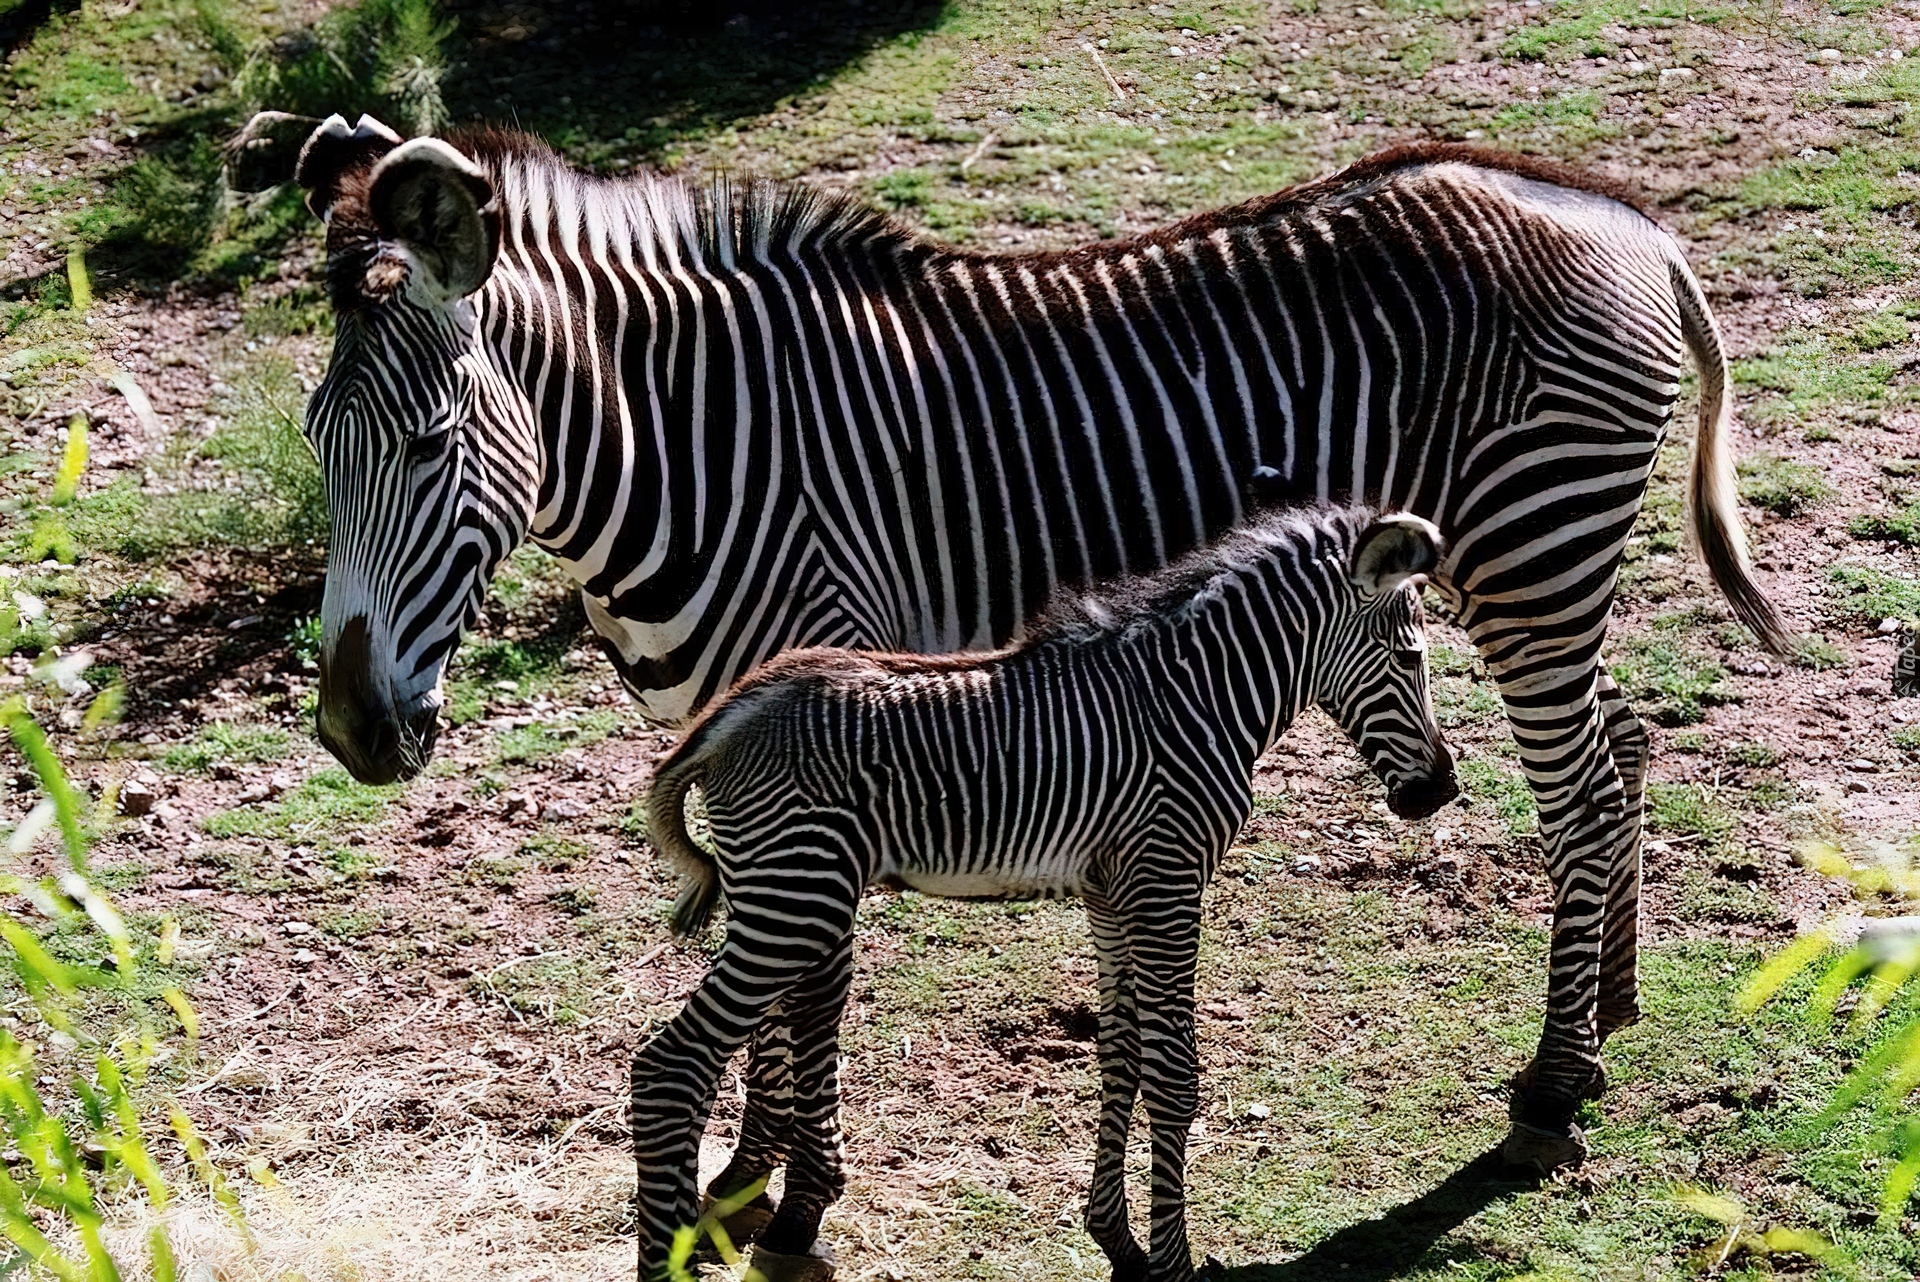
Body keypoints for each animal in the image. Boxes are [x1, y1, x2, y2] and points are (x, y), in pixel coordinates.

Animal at [236, 112, 1781, 1174]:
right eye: (314, 439)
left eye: (428, 445)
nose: (352, 732)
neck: (689, 449)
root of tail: (1620, 214)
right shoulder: (744, 738)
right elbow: (764, 967)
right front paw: (752, 1165)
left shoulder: (818, 693)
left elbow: (809, 975)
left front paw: (782, 1192)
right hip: (1549, 565)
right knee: (1625, 749)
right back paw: (1616, 1009)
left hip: (1532, 547)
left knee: (1580, 798)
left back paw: (1553, 1083)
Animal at [637, 506, 1443, 1282]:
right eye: (1411, 659)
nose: (1441, 790)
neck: (1197, 701)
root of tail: (725, 717)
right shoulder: (1170, 878)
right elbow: (1174, 1077)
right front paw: (1174, 1265)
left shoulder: (1114, 894)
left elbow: (1123, 1056)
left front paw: (1120, 1244)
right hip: (795, 897)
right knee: (670, 1066)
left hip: (785, 893)